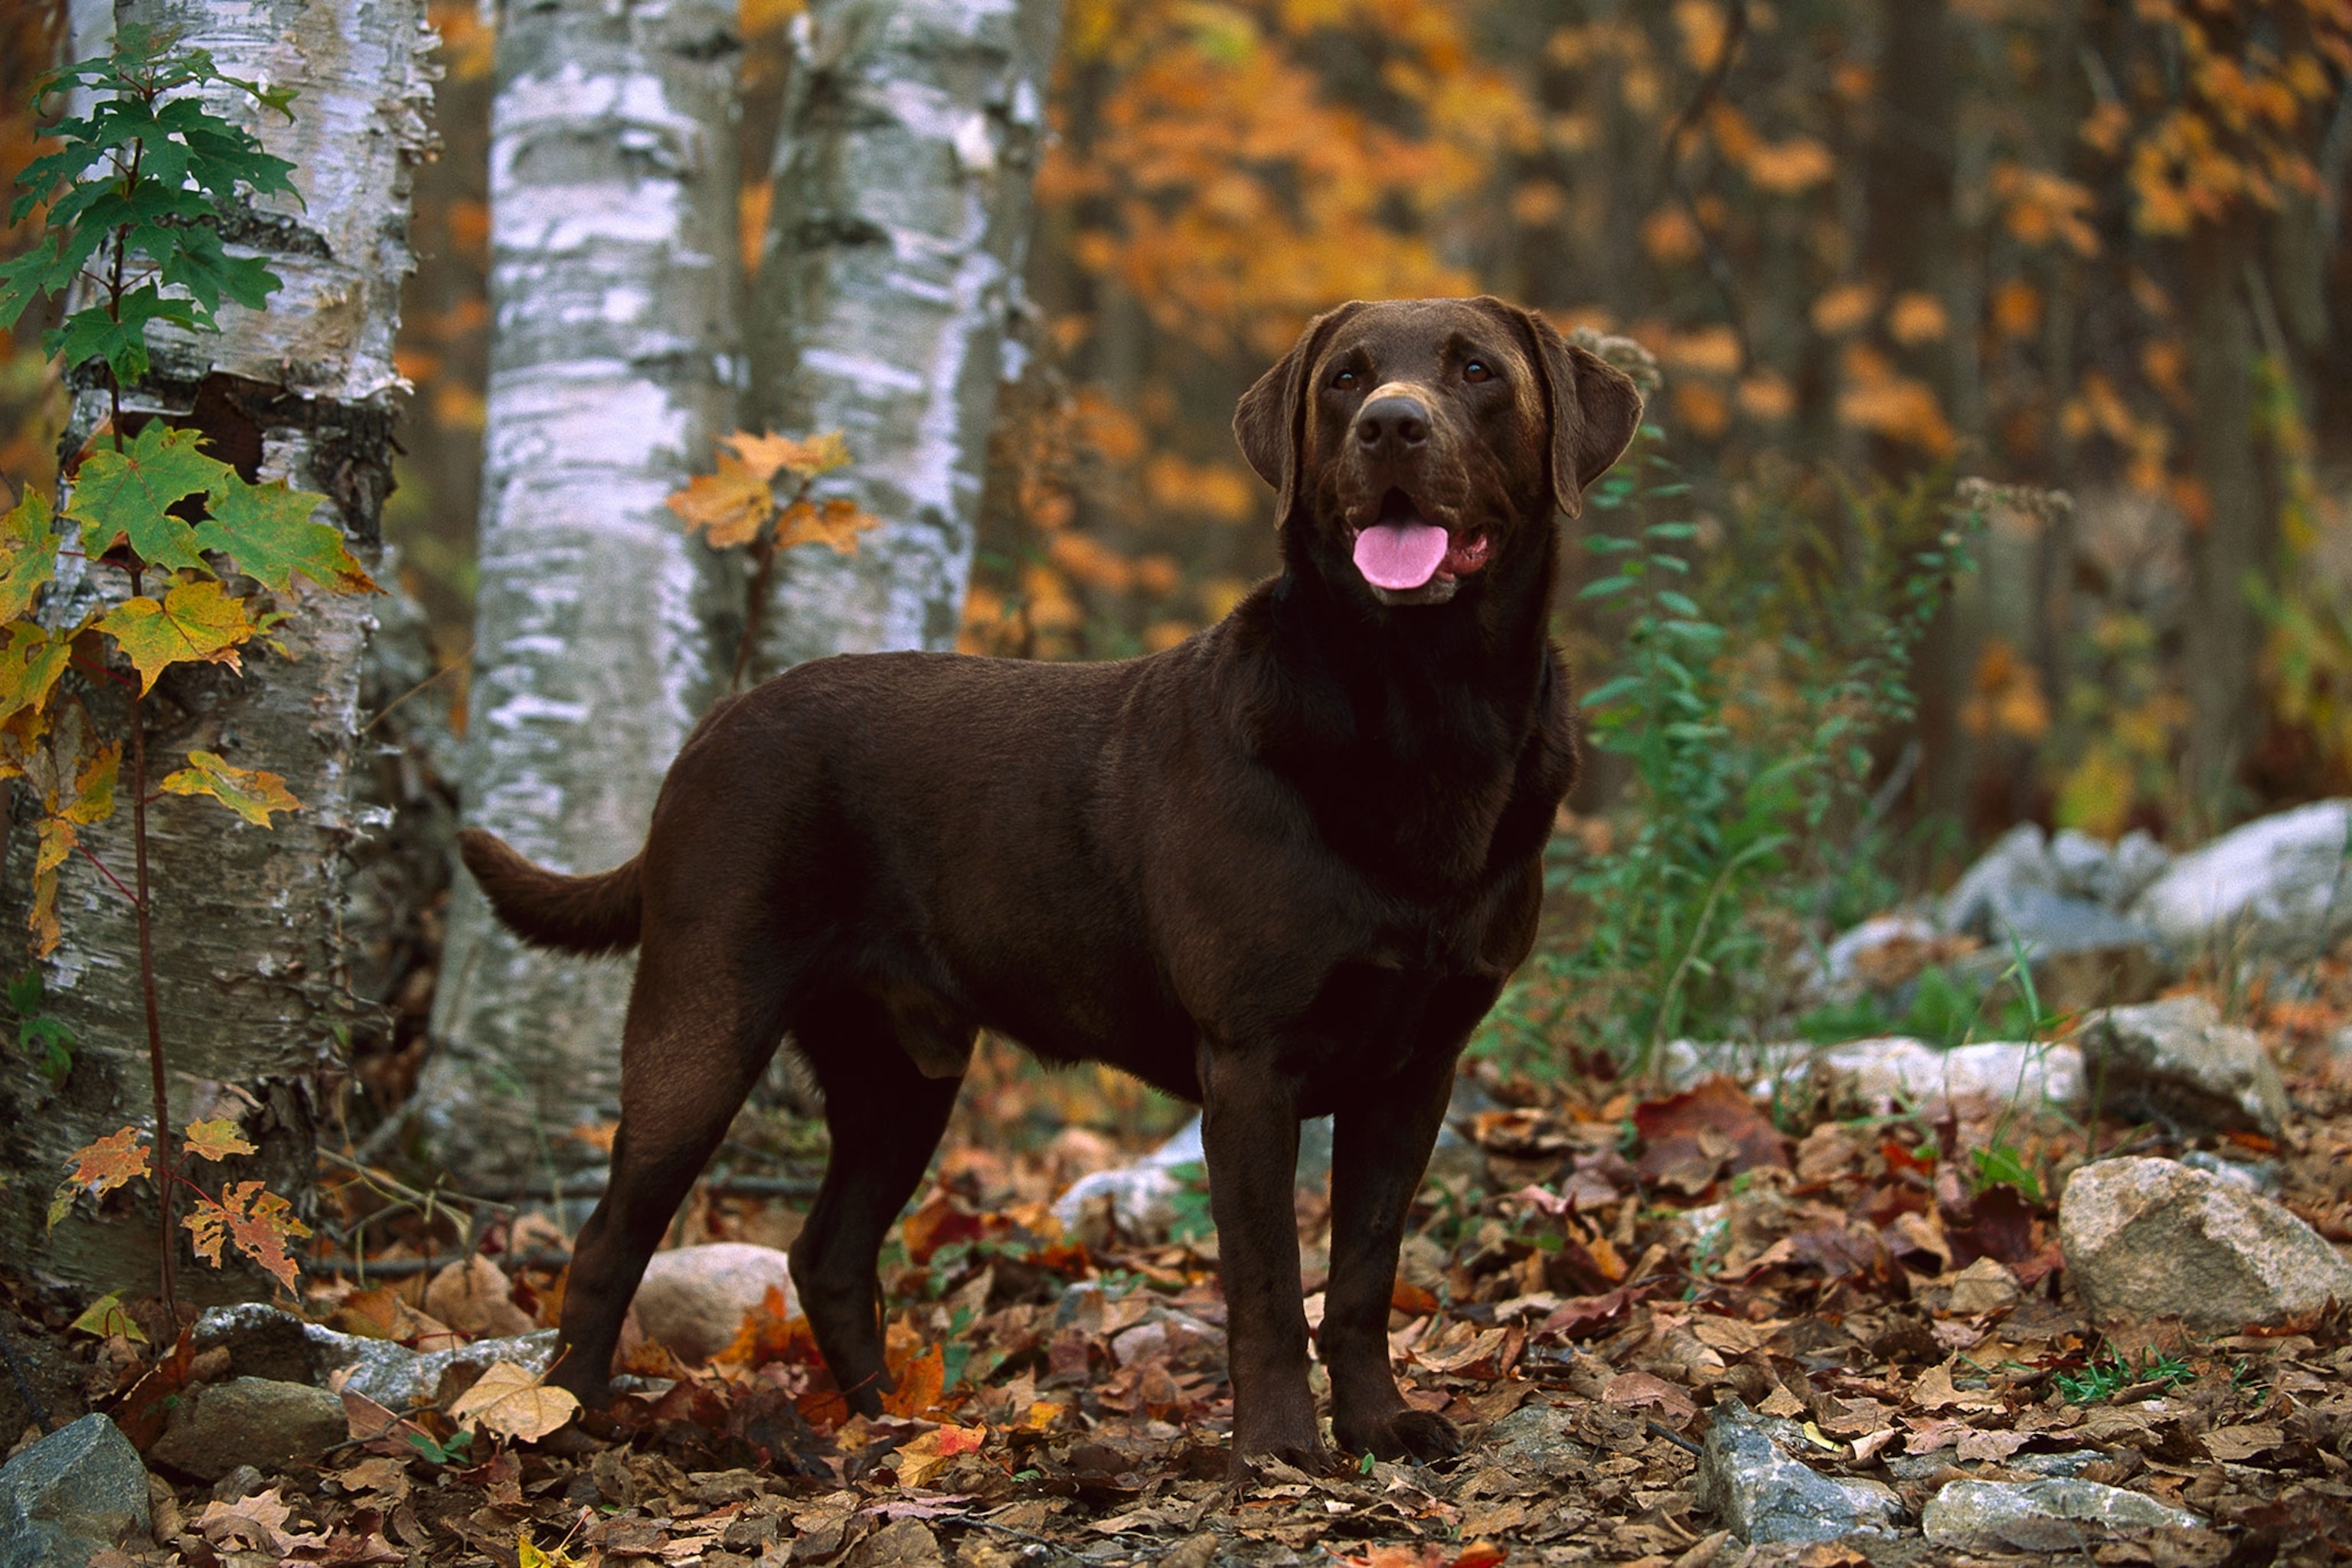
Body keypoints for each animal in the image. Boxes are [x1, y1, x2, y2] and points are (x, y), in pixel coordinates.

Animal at [453, 293, 1637, 1476]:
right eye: (1346, 378)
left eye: (1477, 371)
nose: (1393, 424)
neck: (1424, 709)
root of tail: (707, 729)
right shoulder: (1250, 1066)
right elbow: (1265, 1286)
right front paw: (1278, 1449)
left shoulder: (1417, 1067)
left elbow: (1362, 1274)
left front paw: (1381, 1426)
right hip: (705, 1020)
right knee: (610, 1236)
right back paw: (567, 1418)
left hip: (900, 1073)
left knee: (827, 1253)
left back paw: (897, 1424)